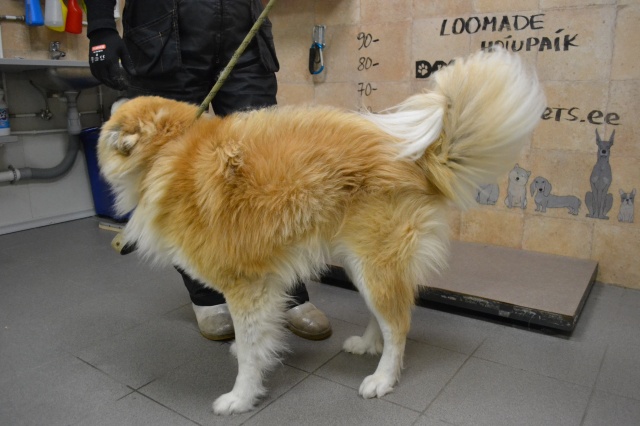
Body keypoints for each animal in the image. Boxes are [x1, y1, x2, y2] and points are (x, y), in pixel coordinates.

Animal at [97, 48, 545, 415]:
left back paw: (383, 379)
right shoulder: (260, 288)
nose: (112, 87)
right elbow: (254, 341)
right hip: (360, 263)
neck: (170, 153)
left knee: (399, 325)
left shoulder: (246, 286)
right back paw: (367, 344)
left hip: (374, 263)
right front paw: (247, 354)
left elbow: (251, 355)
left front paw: (241, 397)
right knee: (385, 315)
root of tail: (419, 159)